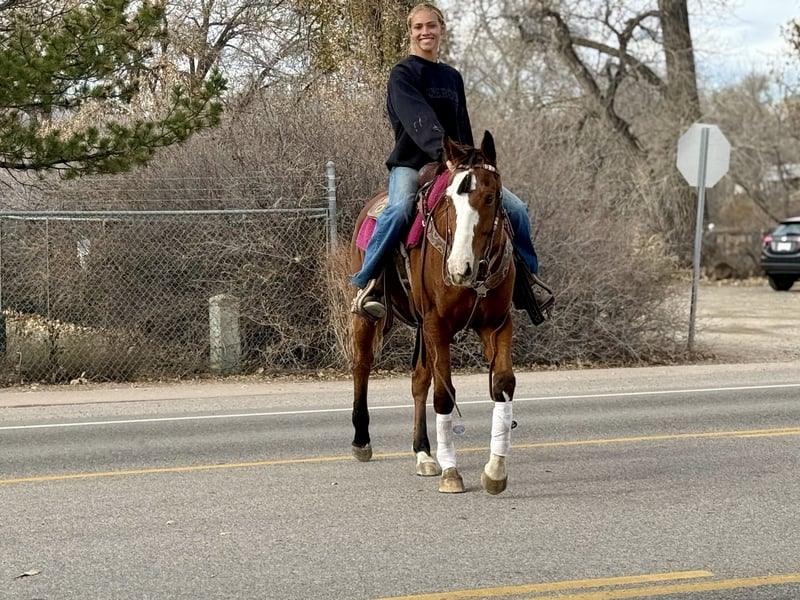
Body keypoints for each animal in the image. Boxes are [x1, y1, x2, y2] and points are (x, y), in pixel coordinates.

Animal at [348, 131, 516, 495]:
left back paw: (424, 453)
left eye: (490, 197)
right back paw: (362, 440)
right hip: (369, 317)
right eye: (448, 201)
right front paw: (452, 473)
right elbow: (443, 395)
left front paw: (495, 471)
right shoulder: (437, 324)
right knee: (362, 366)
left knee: (419, 380)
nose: (458, 269)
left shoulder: (496, 323)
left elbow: (502, 384)